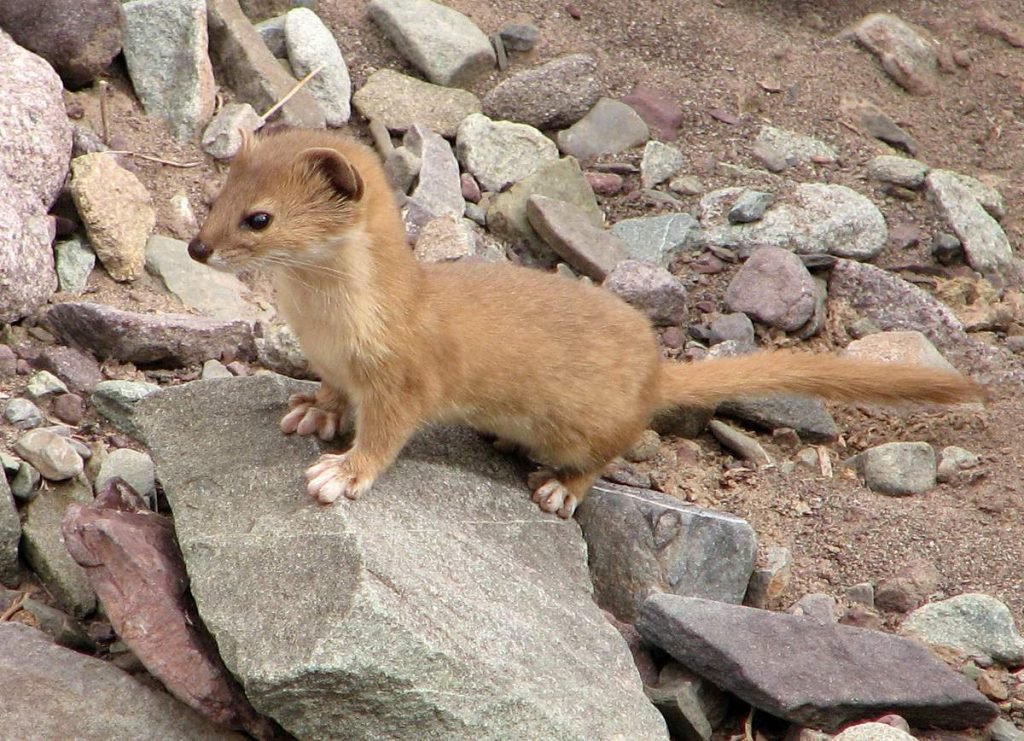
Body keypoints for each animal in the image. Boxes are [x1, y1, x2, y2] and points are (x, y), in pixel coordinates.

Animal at [190, 127, 983, 517]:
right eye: (218, 195)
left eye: (259, 219)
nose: (197, 247)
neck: (327, 324)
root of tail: (657, 372)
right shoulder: (331, 361)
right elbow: (328, 392)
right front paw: (310, 412)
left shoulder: (404, 378)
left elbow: (386, 436)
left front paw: (340, 473)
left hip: (589, 427)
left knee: (608, 453)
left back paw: (559, 489)